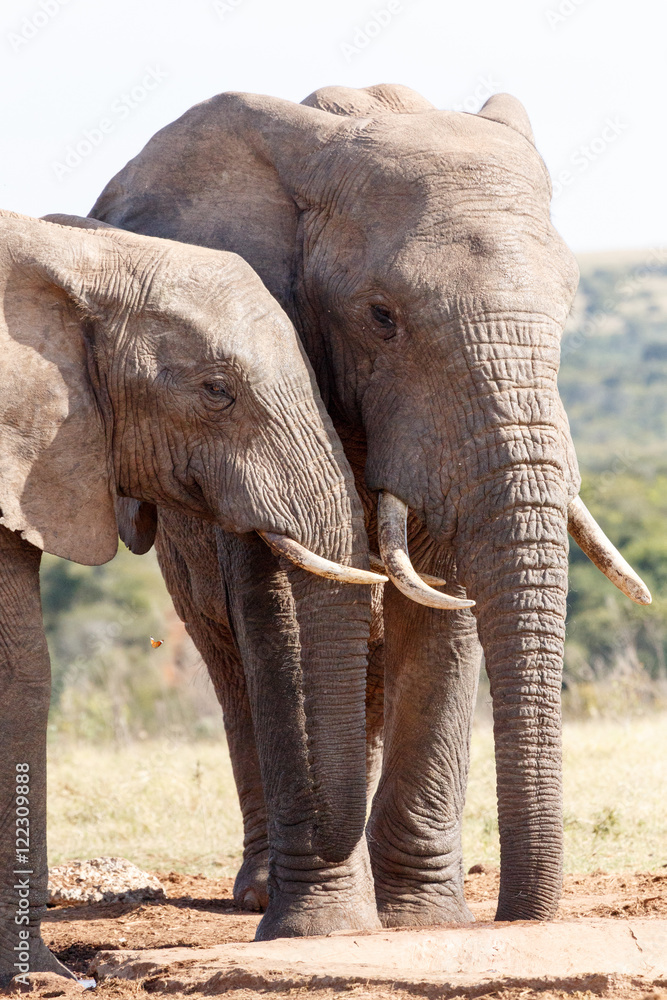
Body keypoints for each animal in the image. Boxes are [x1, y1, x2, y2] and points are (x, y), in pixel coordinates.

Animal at [90, 84, 651, 931]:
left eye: (567, 305)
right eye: (381, 316)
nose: (518, 916)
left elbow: (442, 602)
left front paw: (422, 921)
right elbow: (279, 610)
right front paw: (322, 921)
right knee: (230, 666)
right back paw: (261, 889)